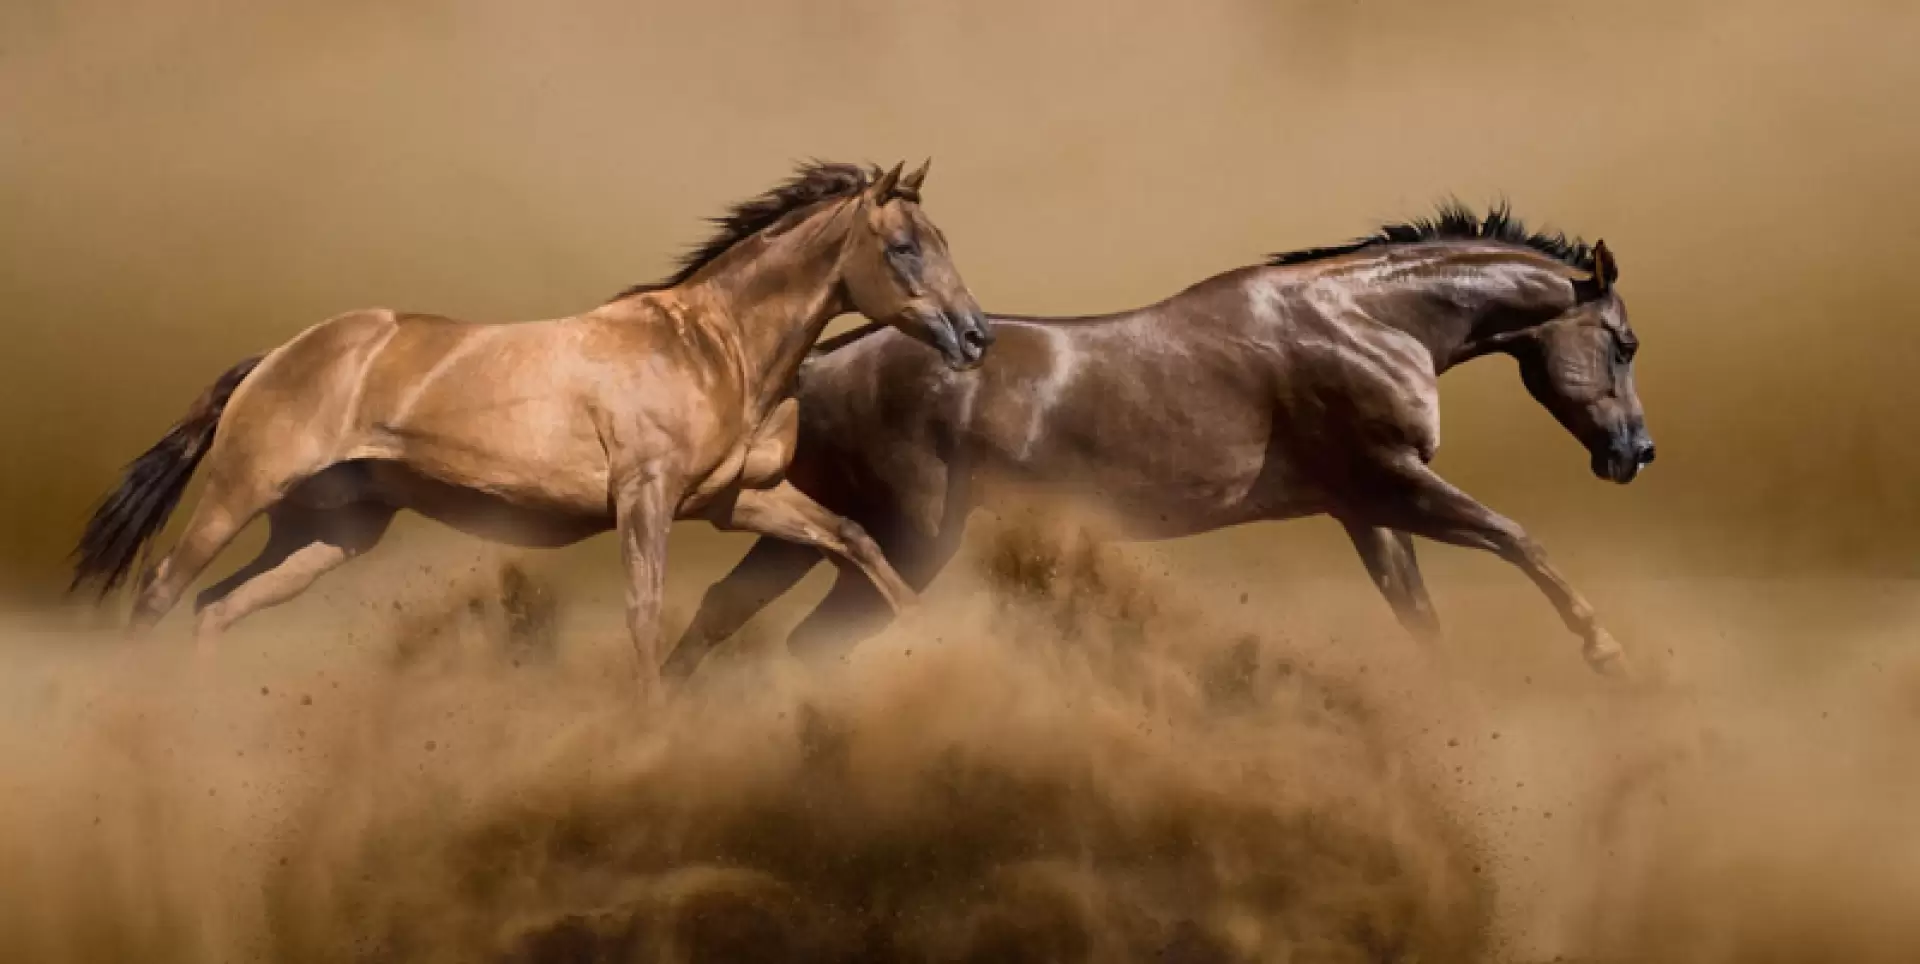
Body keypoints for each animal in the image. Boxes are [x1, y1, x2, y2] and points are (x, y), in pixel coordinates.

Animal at [69, 159, 992, 699]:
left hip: (329, 534)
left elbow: (854, 539)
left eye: (941, 238)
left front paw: (935, 640)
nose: (975, 335)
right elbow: (645, 610)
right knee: (160, 593)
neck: (712, 344)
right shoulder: (646, 498)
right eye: (903, 247)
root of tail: (275, 356)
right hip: (241, 491)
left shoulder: (738, 500)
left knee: (216, 609)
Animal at [664, 203, 1653, 680]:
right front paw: (1606, 652)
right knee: (806, 642)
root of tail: (820, 365)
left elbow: (1420, 616)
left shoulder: (1364, 507)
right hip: (908, 540)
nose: (1635, 454)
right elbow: (1518, 538)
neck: (1368, 320)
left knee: (719, 612)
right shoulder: (1391, 482)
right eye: (1624, 342)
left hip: (818, 531)